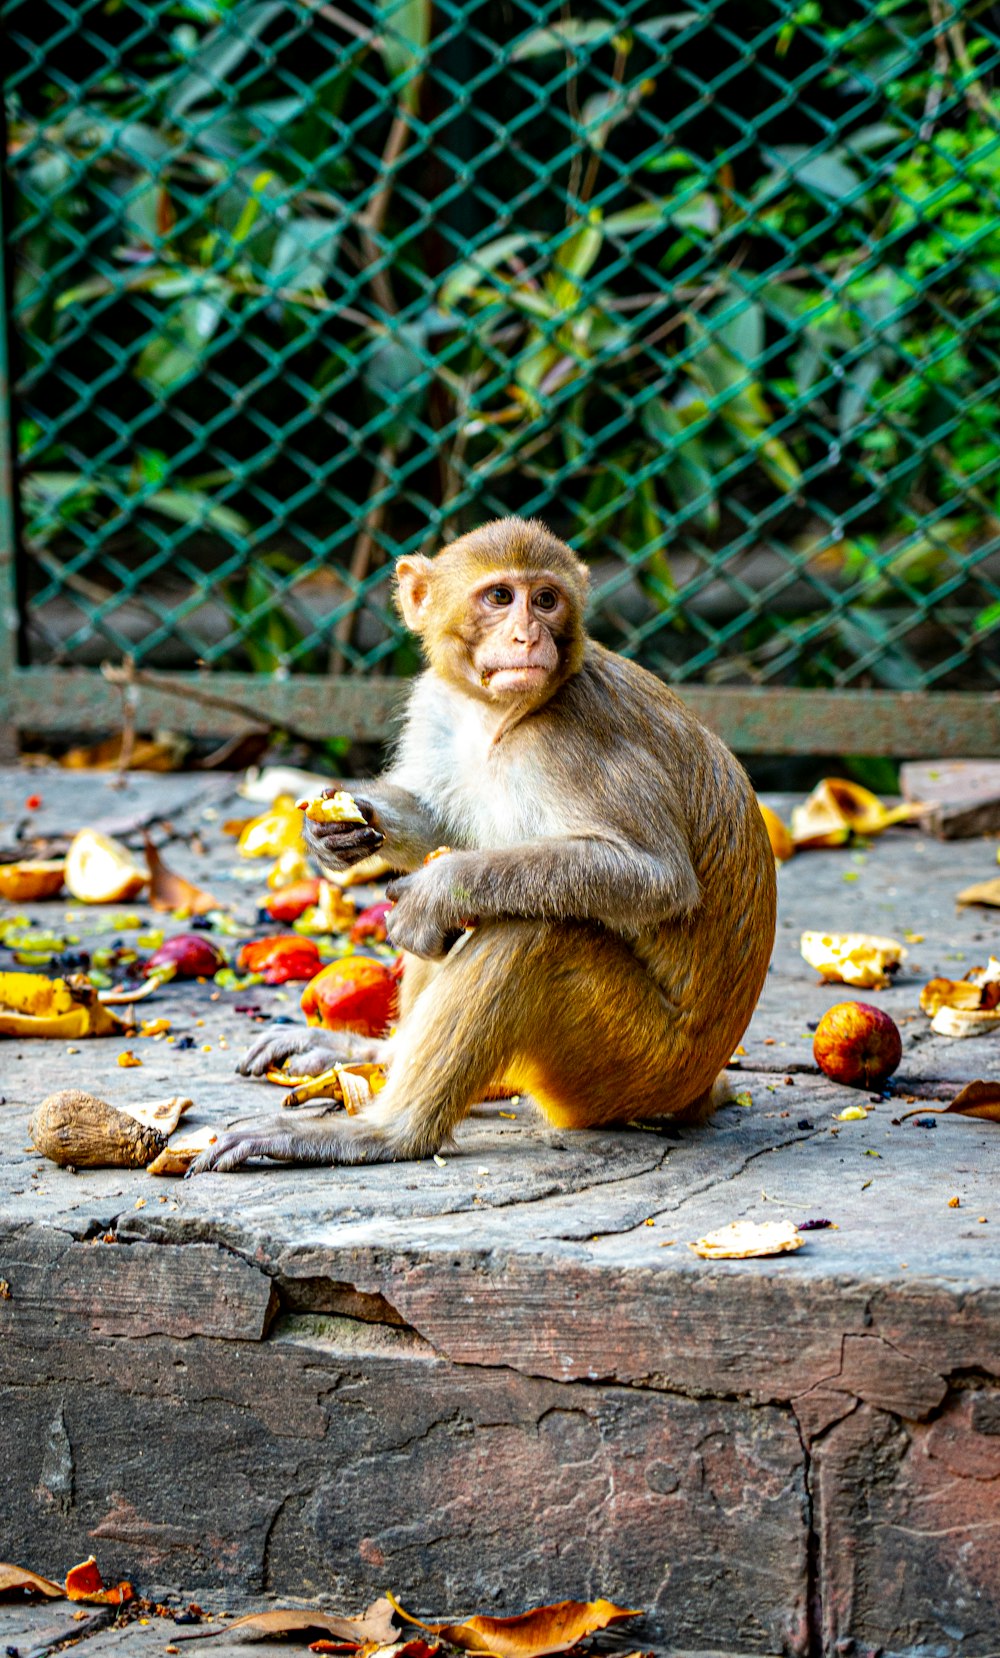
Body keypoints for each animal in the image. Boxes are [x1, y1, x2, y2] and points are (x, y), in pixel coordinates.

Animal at [191, 517, 779, 1180]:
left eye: (545, 599)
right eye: (500, 597)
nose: (528, 635)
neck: (500, 714)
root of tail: (699, 1088)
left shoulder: (574, 740)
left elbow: (655, 877)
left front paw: (433, 893)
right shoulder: (437, 702)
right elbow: (445, 825)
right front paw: (339, 828)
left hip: (632, 1065)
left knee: (532, 933)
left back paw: (386, 1132)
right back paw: (375, 1054)